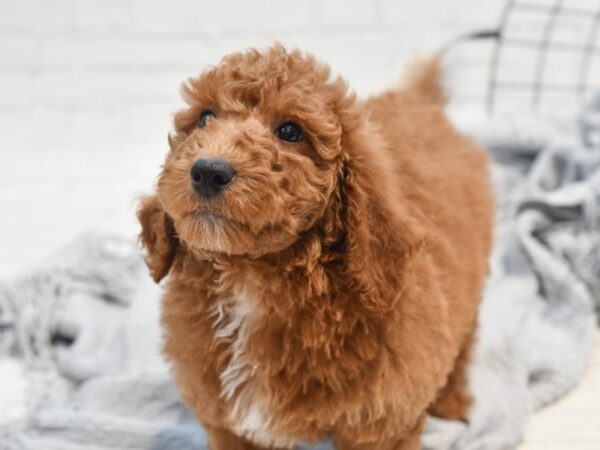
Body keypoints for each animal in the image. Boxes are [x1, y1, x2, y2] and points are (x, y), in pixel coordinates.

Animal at [138, 46, 494, 450]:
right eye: (205, 117)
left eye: (290, 131)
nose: (208, 171)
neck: (252, 280)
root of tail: (420, 101)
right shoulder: (227, 423)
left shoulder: (382, 423)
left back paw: (452, 404)